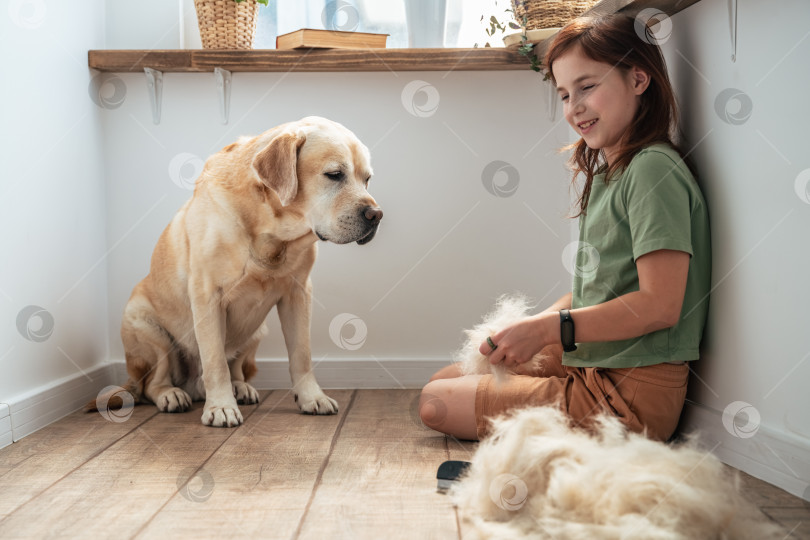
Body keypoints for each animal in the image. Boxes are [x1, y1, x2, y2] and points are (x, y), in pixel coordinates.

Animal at [94, 117, 382, 426]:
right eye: (334, 174)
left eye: (366, 179)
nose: (376, 215)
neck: (271, 231)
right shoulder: (207, 296)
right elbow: (215, 360)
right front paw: (220, 406)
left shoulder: (299, 293)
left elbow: (301, 355)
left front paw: (311, 397)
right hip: (146, 327)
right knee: (152, 383)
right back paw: (172, 394)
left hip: (256, 331)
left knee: (237, 367)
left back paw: (240, 387)